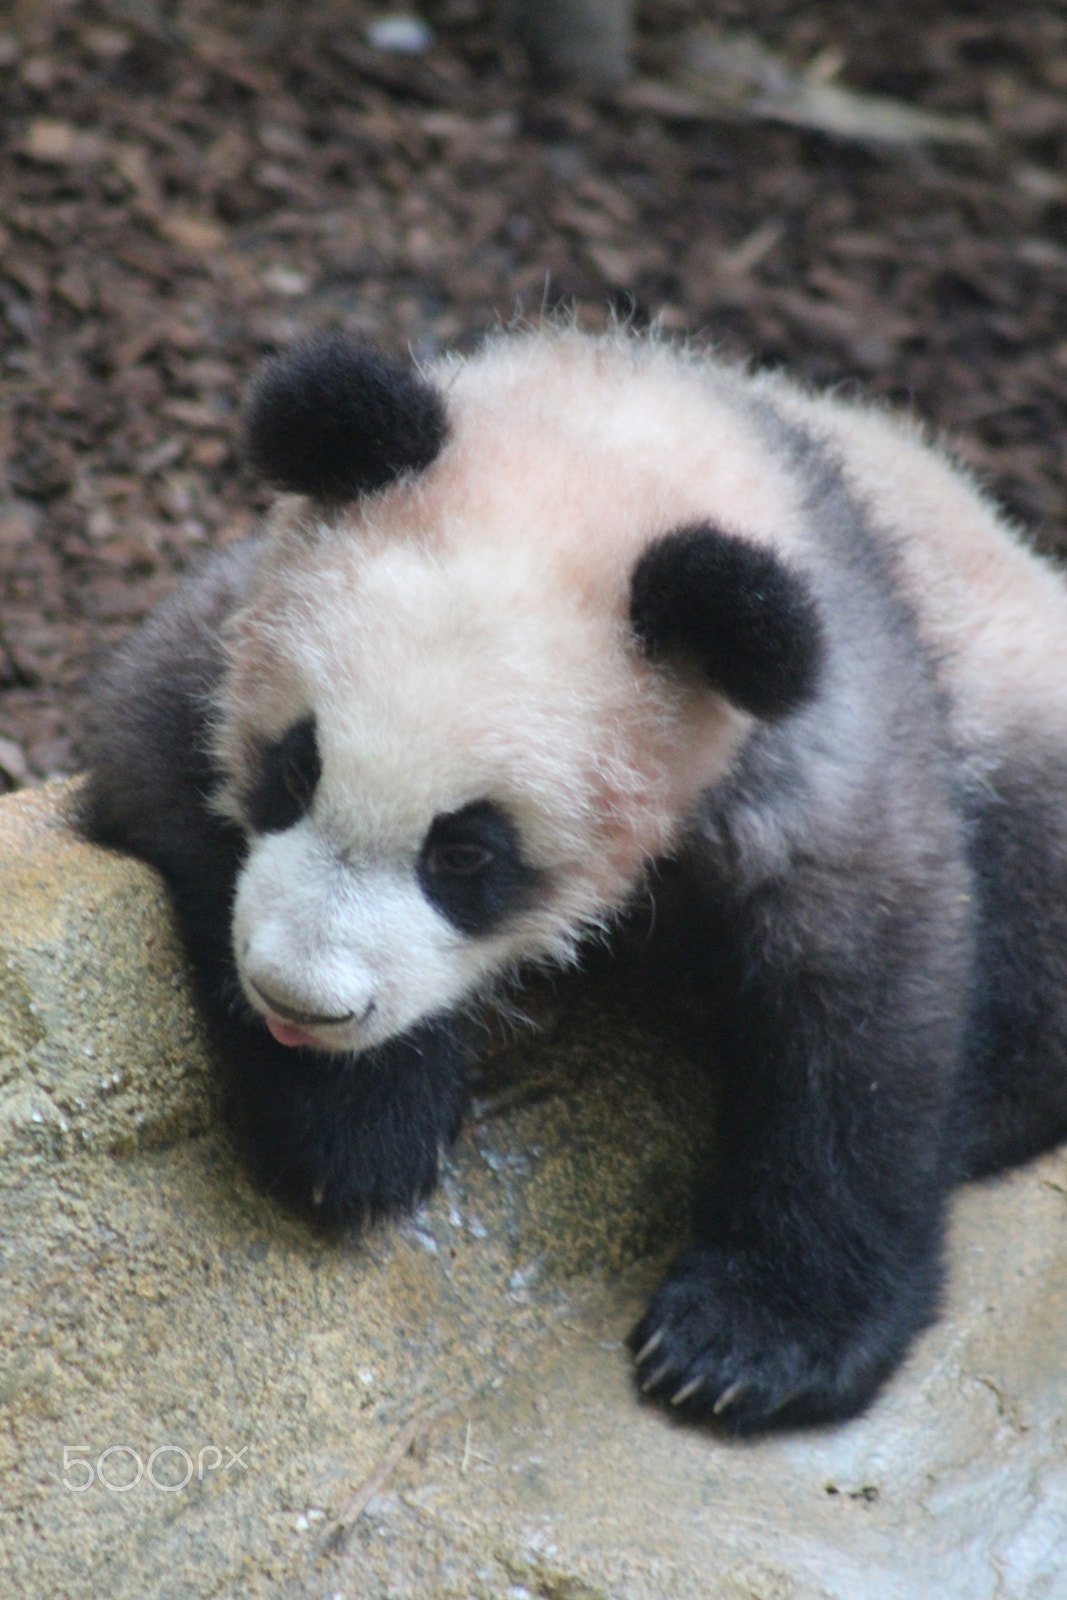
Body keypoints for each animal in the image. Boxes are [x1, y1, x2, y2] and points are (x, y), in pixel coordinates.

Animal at [81, 325, 1067, 1434]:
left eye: (467, 855)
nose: (299, 1002)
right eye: (295, 769)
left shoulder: (824, 732)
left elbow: (865, 1011)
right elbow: (157, 757)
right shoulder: (238, 618)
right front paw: (358, 1123)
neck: (631, 432)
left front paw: (742, 1348)